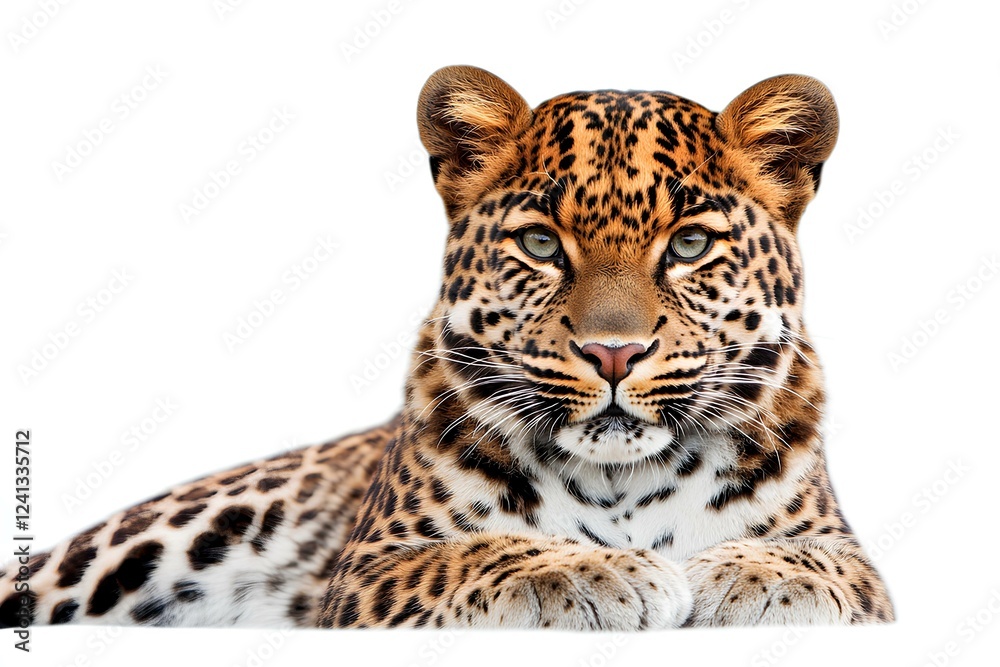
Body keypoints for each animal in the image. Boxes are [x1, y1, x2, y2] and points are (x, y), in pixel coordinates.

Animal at [1, 65, 893, 630]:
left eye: (689, 245)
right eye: (540, 243)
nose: (614, 352)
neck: (621, 483)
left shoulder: (861, 566)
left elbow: (818, 564)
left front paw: (740, 571)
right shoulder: (365, 570)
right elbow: (475, 554)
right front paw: (590, 569)